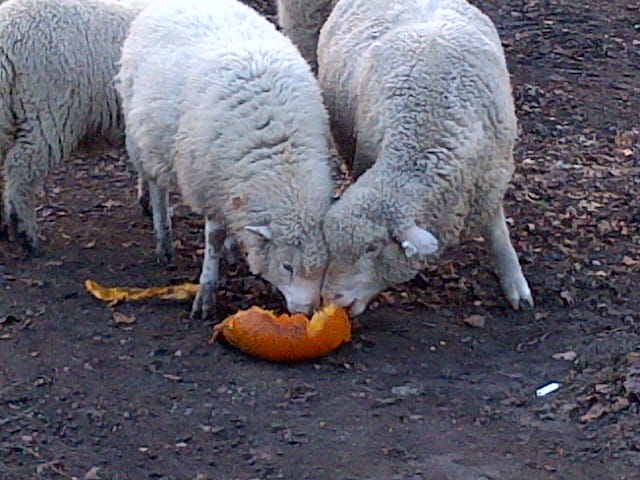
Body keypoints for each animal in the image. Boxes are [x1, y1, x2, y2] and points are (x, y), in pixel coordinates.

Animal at [116, 0, 335, 318]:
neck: (279, 152)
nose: (307, 313)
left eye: (323, 267)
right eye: (287, 266)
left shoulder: (231, 186)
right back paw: (164, 238)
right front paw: (207, 291)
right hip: (145, 136)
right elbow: (214, 238)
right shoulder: (207, 184)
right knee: (157, 187)